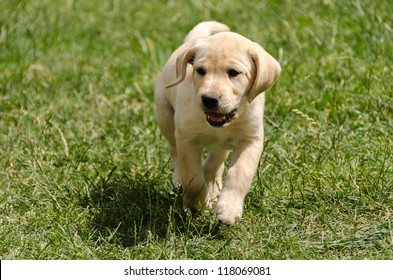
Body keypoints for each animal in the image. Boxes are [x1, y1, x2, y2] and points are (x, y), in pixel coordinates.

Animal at [155, 20, 280, 224]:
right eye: (200, 71)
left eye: (234, 72)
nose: (209, 99)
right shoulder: (186, 138)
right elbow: (193, 178)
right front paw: (198, 204)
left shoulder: (251, 140)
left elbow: (240, 173)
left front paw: (228, 208)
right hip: (165, 117)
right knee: (175, 153)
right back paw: (182, 183)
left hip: (221, 146)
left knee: (213, 165)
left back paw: (214, 192)